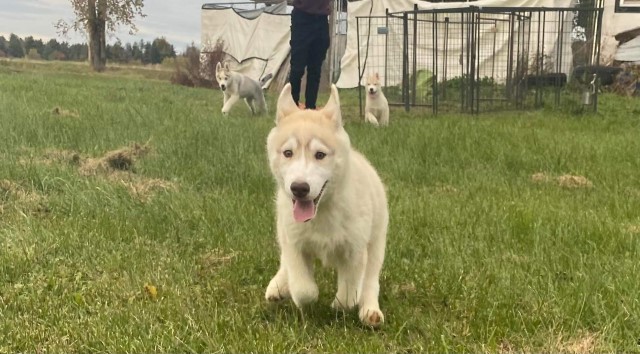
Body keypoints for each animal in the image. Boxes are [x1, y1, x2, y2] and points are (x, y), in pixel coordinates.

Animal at [262, 84, 388, 328]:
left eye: (320, 155)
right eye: (288, 153)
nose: (299, 188)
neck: (321, 214)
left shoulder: (355, 250)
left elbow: (349, 293)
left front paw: (339, 305)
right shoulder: (294, 243)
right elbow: (303, 289)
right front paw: (296, 292)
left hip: (376, 240)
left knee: (370, 279)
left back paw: (370, 310)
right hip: (282, 228)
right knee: (284, 260)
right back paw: (278, 285)